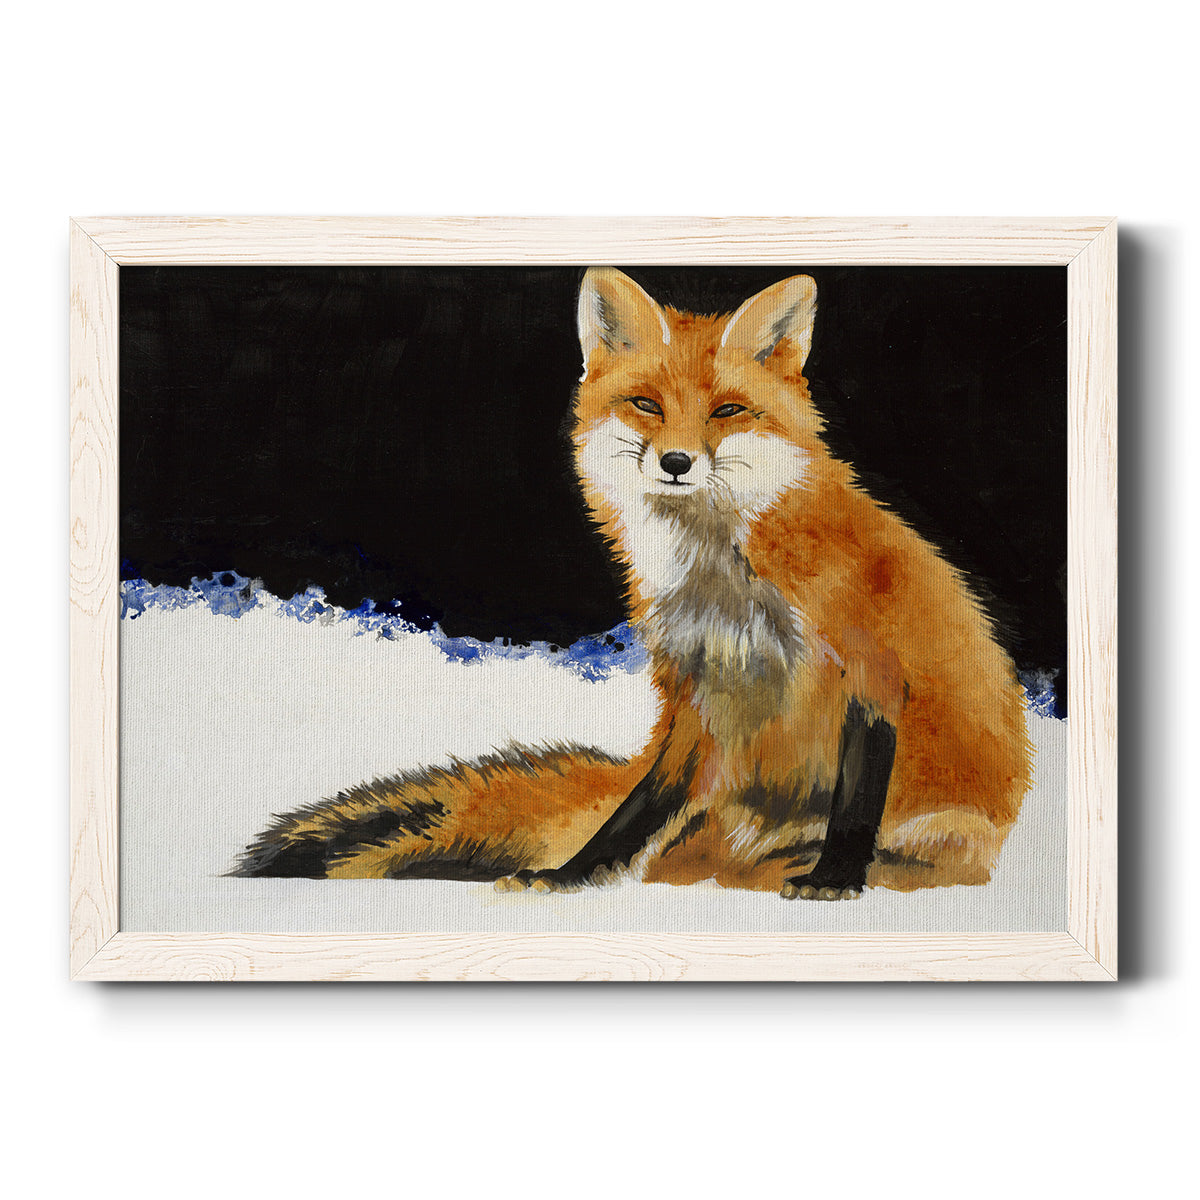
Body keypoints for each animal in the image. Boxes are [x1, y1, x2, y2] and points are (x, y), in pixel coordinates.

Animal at [234, 268, 1033, 900]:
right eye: (648, 404)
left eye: (728, 410)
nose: (677, 462)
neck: (724, 578)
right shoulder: (693, 689)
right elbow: (638, 808)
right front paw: (574, 876)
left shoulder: (871, 668)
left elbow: (857, 799)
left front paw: (835, 878)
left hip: (947, 829)